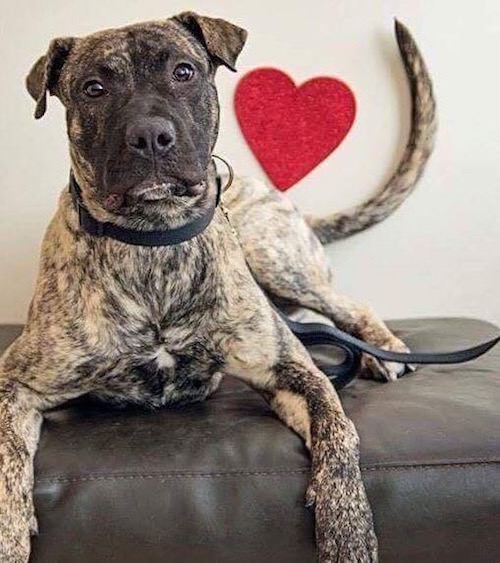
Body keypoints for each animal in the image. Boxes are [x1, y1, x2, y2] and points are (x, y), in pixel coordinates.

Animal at [0, 12, 436, 562]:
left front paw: (348, 530)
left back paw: (382, 349)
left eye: (184, 71)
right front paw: (8, 533)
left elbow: (340, 433)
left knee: (346, 306)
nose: (150, 135)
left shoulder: (289, 371)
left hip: (272, 254)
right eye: (93, 88)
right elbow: (7, 459)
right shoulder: (17, 381)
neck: (154, 239)